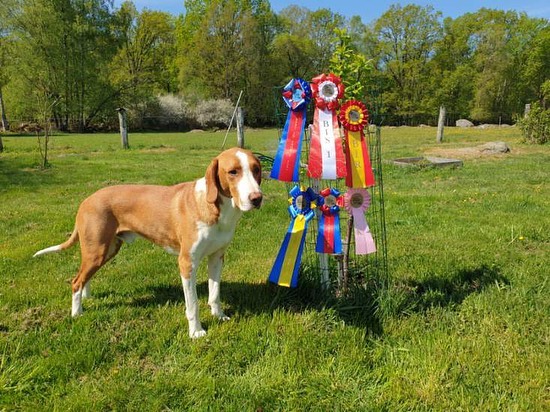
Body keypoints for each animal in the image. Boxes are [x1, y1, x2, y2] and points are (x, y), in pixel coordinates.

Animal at [33, 148, 264, 338]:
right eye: (233, 172)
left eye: (256, 169)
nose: (257, 198)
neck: (215, 207)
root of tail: (86, 200)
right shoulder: (187, 263)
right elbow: (193, 304)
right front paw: (196, 332)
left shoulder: (216, 257)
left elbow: (214, 293)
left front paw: (219, 316)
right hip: (96, 251)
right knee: (76, 281)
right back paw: (77, 313)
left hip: (106, 250)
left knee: (85, 277)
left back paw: (85, 298)